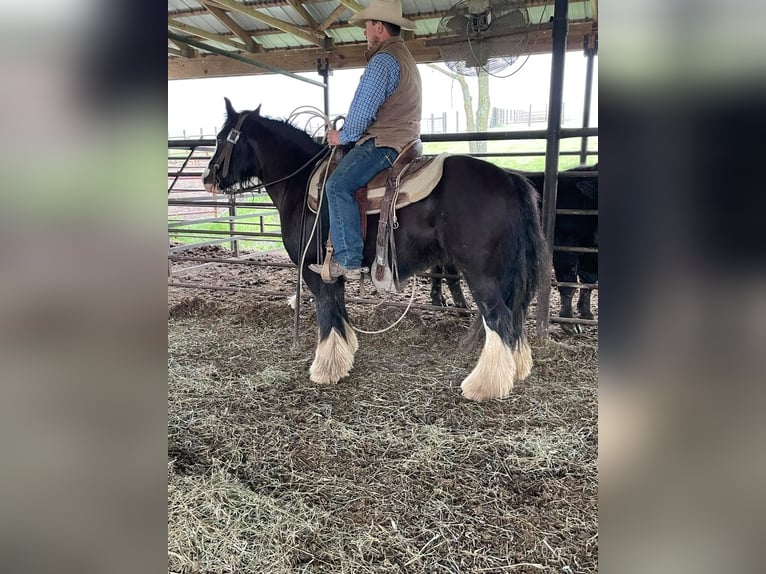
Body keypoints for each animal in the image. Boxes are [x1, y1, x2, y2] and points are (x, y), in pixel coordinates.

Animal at [206, 100, 544, 404]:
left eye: (221, 138)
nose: (208, 177)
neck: (301, 185)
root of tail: (509, 178)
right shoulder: (332, 271)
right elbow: (338, 309)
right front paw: (343, 353)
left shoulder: (313, 268)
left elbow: (326, 310)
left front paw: (324, 368)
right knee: (515, 315)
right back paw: (516, 369)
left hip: (480, 273)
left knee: (498, 317)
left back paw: (484, 385)